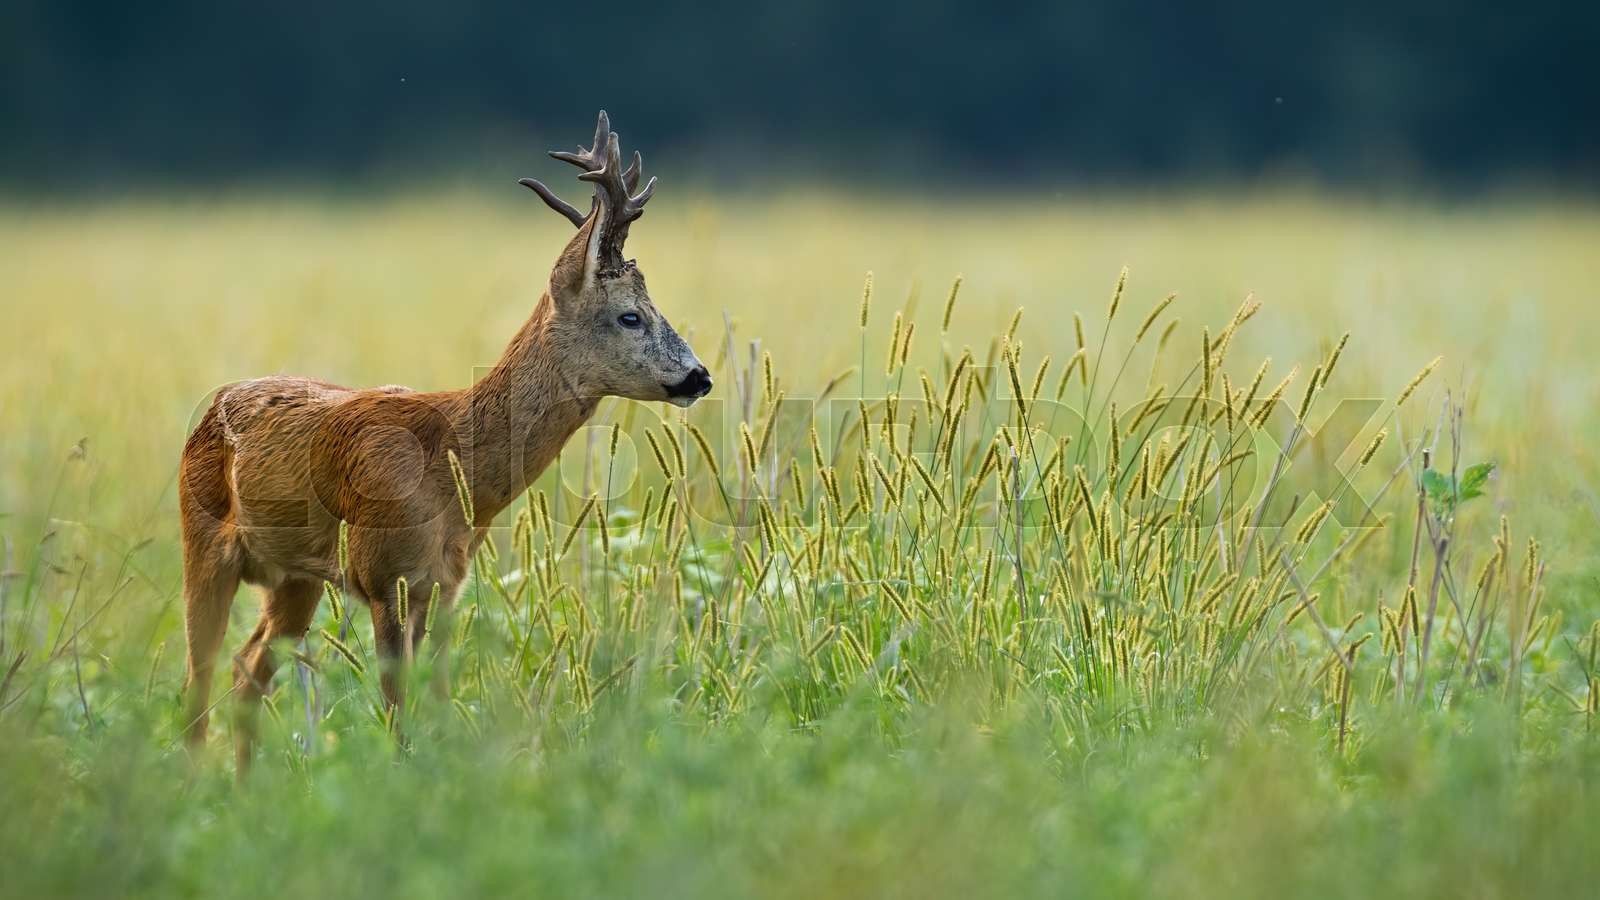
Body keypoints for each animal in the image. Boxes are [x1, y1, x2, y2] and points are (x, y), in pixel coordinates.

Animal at [178, 112, 710, 768]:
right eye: (630, 315)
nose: (700, 377)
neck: (452, 470)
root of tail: (211, 409)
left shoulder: (444, 583)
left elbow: (432, 697)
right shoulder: (387, 576)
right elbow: (396, 709)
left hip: (296, 578)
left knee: (248, 667)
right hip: (203, 544)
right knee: (198, 675)